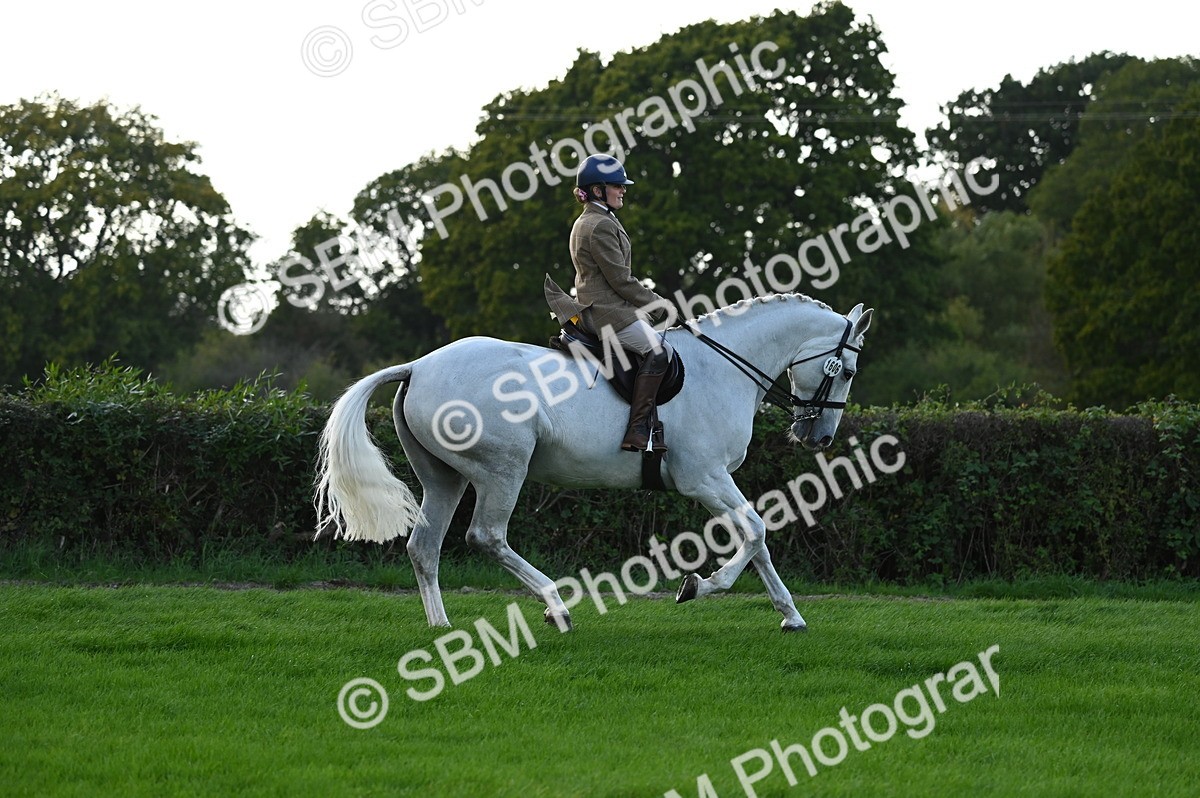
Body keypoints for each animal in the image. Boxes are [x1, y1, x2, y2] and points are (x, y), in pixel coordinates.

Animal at [315, 293, 872, 631]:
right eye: (846, 370)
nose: (820, 437)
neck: (723, 367)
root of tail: (419, 366)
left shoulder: (717, 481)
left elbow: (759, 540)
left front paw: (791, 615)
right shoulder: (704, 479)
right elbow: (756, 530)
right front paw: (699, 586)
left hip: (444, 478)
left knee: (424, 546)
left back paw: (441, 625)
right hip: (502, 470)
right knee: (487, 537)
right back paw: (557, 607)